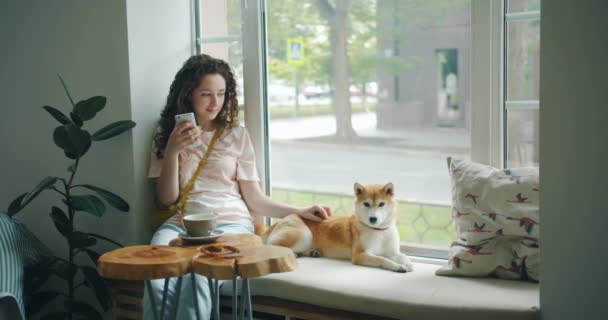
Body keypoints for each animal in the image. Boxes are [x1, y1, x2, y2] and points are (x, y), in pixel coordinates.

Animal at [262, 182, 414, 272]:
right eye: (366, 204)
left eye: (381, 204)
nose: (373, 219)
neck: (379, 231)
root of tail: (282, 220)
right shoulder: (360, 255)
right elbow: (382, 259)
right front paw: (397, 266)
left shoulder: (392, 252)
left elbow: (402, 256)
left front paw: (407, 263)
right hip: (304, 234)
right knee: (272, 246)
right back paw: (293, 254)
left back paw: (311, 252)